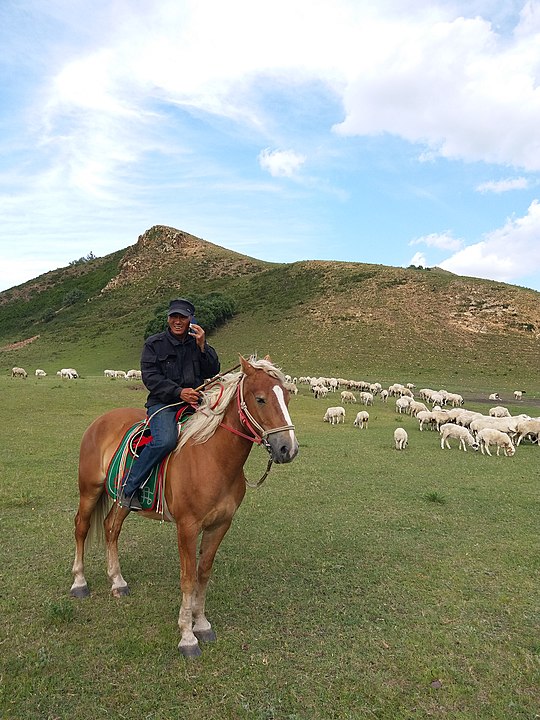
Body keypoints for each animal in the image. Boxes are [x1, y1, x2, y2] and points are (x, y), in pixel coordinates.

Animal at [70, 358, 300, 656]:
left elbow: (203, 574)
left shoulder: (220, 525)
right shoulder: (187, 527)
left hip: (123, 498)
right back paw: (79, 582)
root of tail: (100, 421)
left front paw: (201, 624)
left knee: (111, 527)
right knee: (82, 527)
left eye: (287, 397)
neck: (213, 457)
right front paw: (187, 636)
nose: (287, 449)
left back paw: (118, 582)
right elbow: (188, 578)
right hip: (89, 489)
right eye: (260, 399)